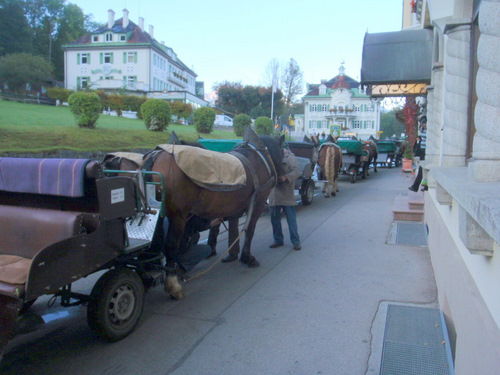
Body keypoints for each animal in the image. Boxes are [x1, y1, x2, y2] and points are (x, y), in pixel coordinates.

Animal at [147, 129, 286, 300]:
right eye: (283, 151)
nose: (283, 178)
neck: (258, 157)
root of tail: (156, 155)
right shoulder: (258, 204)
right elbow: (249, 231)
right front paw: (247, 257)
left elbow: (232, 229)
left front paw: (232, 254)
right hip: (177, 216)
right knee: (171, 246)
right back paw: (174, 285)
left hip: (160, 215)